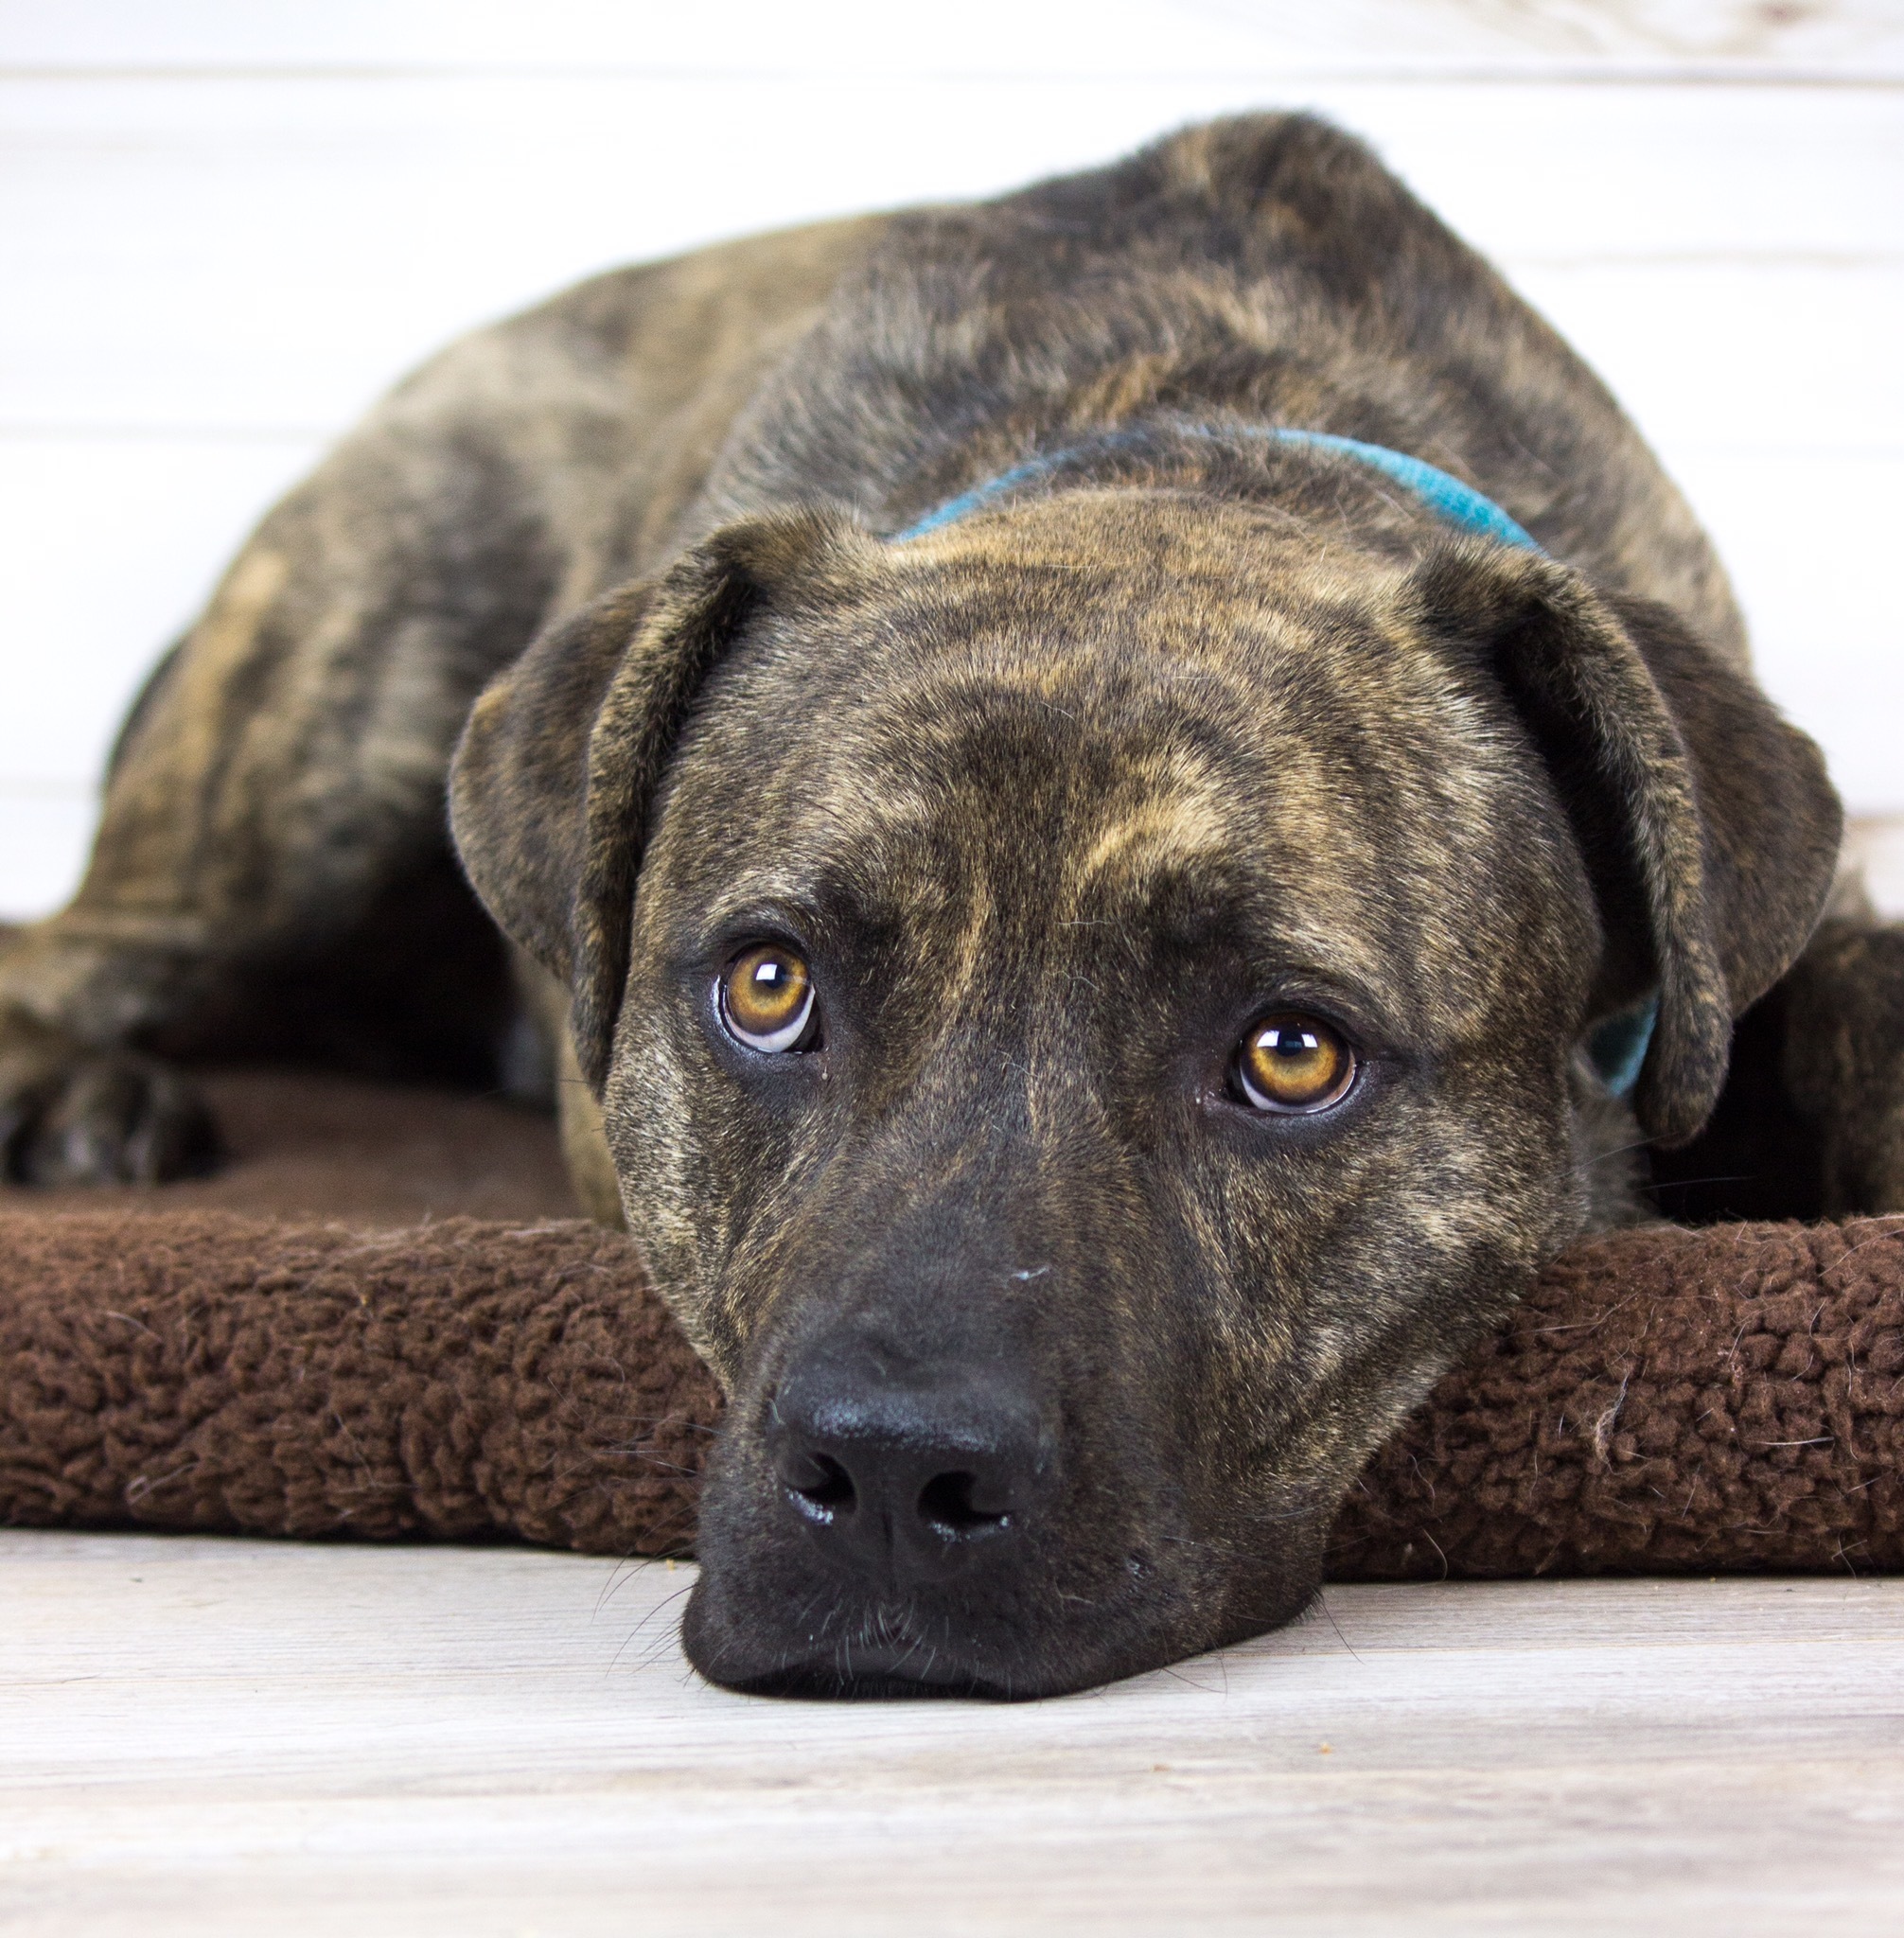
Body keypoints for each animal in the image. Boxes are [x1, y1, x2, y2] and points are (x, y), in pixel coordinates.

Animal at [3, 116, 1904, 1698]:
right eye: (766, 986)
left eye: (1292, 1054)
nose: (893, 1473)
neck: (1198, 438)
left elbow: (1862, 994)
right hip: (320, 757)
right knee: (82, 947)